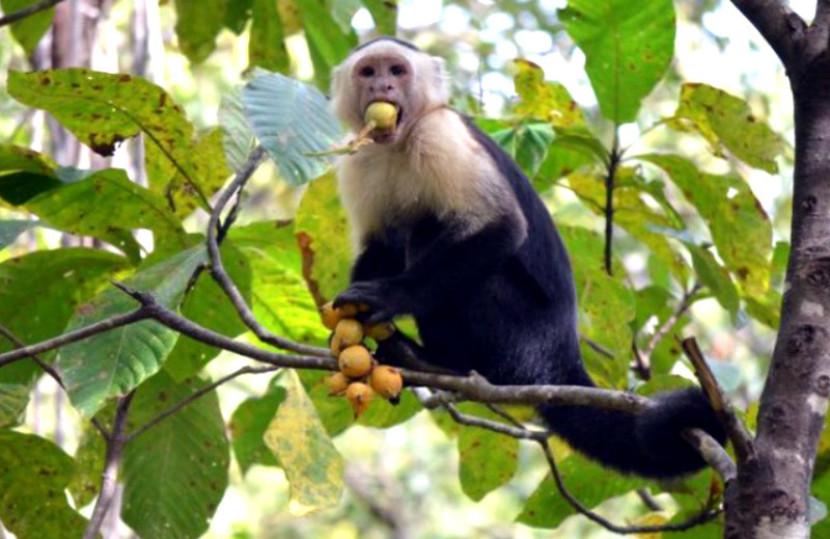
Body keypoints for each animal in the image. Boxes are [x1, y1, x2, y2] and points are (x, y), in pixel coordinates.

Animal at [332, 35, 728, 478]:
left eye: (397, 71)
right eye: (368, 71)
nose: (381, 86)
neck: (399, 142)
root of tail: (560, 354)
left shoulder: (440, 134)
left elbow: (502, 227)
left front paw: (389, 297)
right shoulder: (359, 158)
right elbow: (380, 246)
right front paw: (345, 323)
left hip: (520, 337)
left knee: (434, 234)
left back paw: (439, 362)